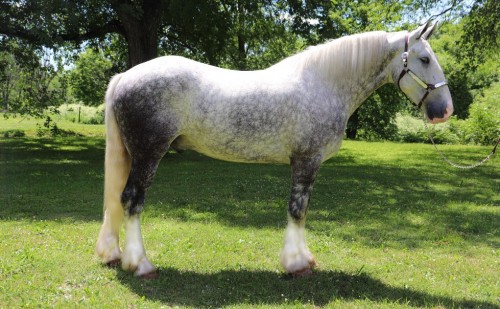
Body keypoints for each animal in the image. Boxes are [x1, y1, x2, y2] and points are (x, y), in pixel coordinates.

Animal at [94, 21, 454, 276]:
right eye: (424, 59)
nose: (445, 110)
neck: (324, 84)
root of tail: (125, 76)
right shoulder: (307, 161)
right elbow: (297, 210)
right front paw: (296, 264)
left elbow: (300, 211)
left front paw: (303, 259)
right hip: (148, 154)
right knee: (131, 201)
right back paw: (140, 264)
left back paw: (114, 255)